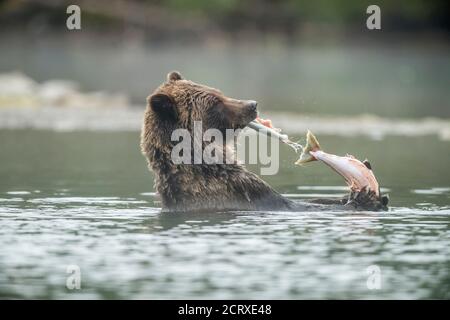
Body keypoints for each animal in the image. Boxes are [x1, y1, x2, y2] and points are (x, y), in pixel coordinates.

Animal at [141, 72, 386, 212]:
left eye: (219, 92)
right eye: (215, 102)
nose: (252, 104)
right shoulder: (240, 191)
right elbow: (293, 204)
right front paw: (364, 198)